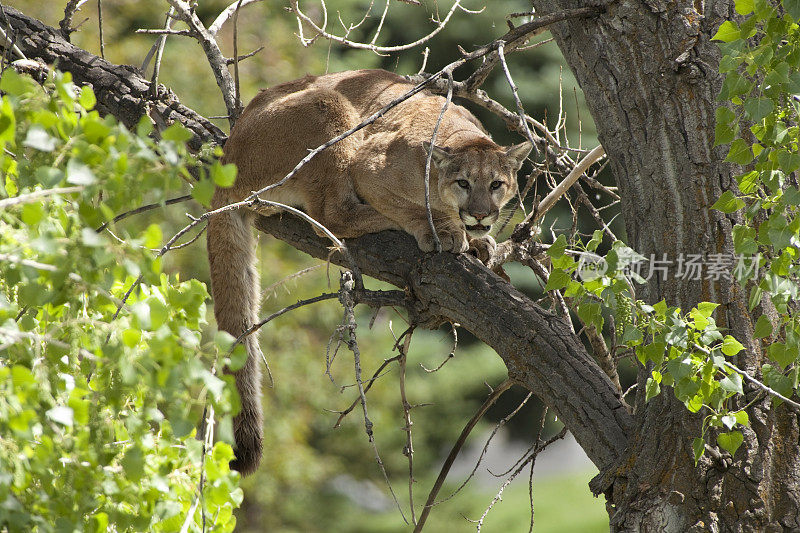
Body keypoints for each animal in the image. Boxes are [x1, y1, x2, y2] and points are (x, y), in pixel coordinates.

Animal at [208, 68, 532, 472]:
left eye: (496, 184)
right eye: (464, 183)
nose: (480, 214)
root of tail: (228, 154)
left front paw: (479, 240)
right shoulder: (367, 162)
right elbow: (410, 207)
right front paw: (444, 230)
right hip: (328, 108)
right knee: (330, 217)